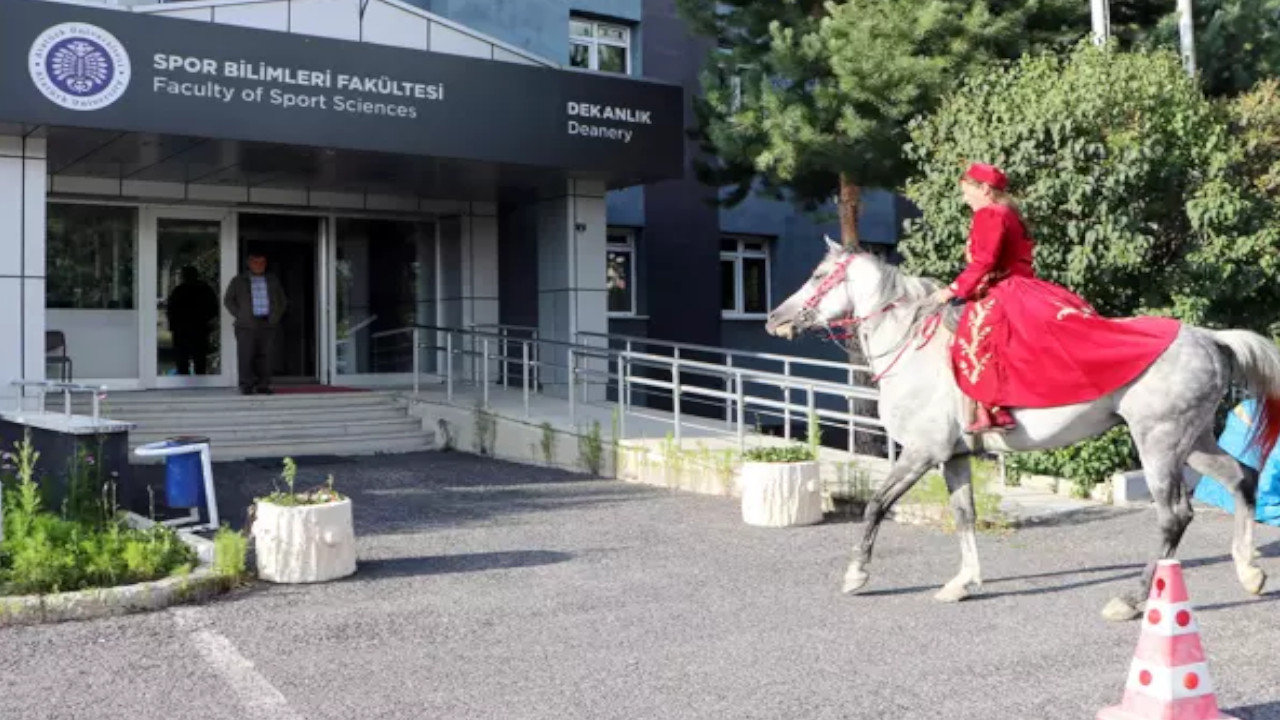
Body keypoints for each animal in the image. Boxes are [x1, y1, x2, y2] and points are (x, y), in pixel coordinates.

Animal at [768, 237, 1280, 617]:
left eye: (818, 276)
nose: (775, 318)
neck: (913, 347)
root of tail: (1209, 338)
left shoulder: (920, 453)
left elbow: (876, 505)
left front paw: (857, 574)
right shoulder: (953, 457)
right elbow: (964, 515)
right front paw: (962, 582)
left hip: (1159, 444)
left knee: (1174, 516)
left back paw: (1132, 600)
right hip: (1194, 440)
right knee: (1241, 478)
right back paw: (1248, 570)